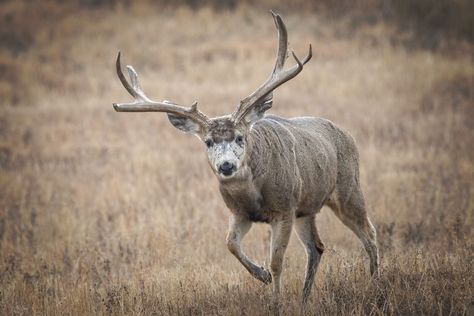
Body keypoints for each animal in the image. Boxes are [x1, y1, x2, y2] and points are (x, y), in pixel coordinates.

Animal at [113, 11, 380, 306]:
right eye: (208, 141)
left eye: (240, 137)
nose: (226, 165)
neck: (253, 193)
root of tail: (347, 134)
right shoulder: (240, 212)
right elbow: (230, 243)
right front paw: (261, 275)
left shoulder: (284, 208)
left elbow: (277, 261)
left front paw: (276, 299)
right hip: (307, 208)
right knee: (317, 247)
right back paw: (304, 298)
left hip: (347, 189)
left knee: (369, 233)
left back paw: (374, 284)